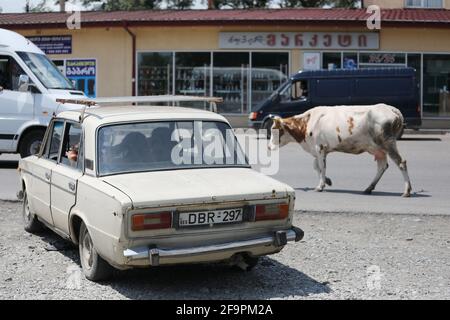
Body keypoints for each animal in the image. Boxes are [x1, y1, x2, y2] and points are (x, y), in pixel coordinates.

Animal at [268, 103, 414, 198]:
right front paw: (326, 181)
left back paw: (406, 191)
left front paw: (320, 186)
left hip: (387, 142)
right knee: (382, 166)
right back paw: (368, 188)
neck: (307, 123)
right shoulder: (317, 149)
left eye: (275, 129)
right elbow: (317, 167)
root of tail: (391, 108)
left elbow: (322, 167)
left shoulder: (320, 147)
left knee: (401, 163)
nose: (269, 147)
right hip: (377, 148)